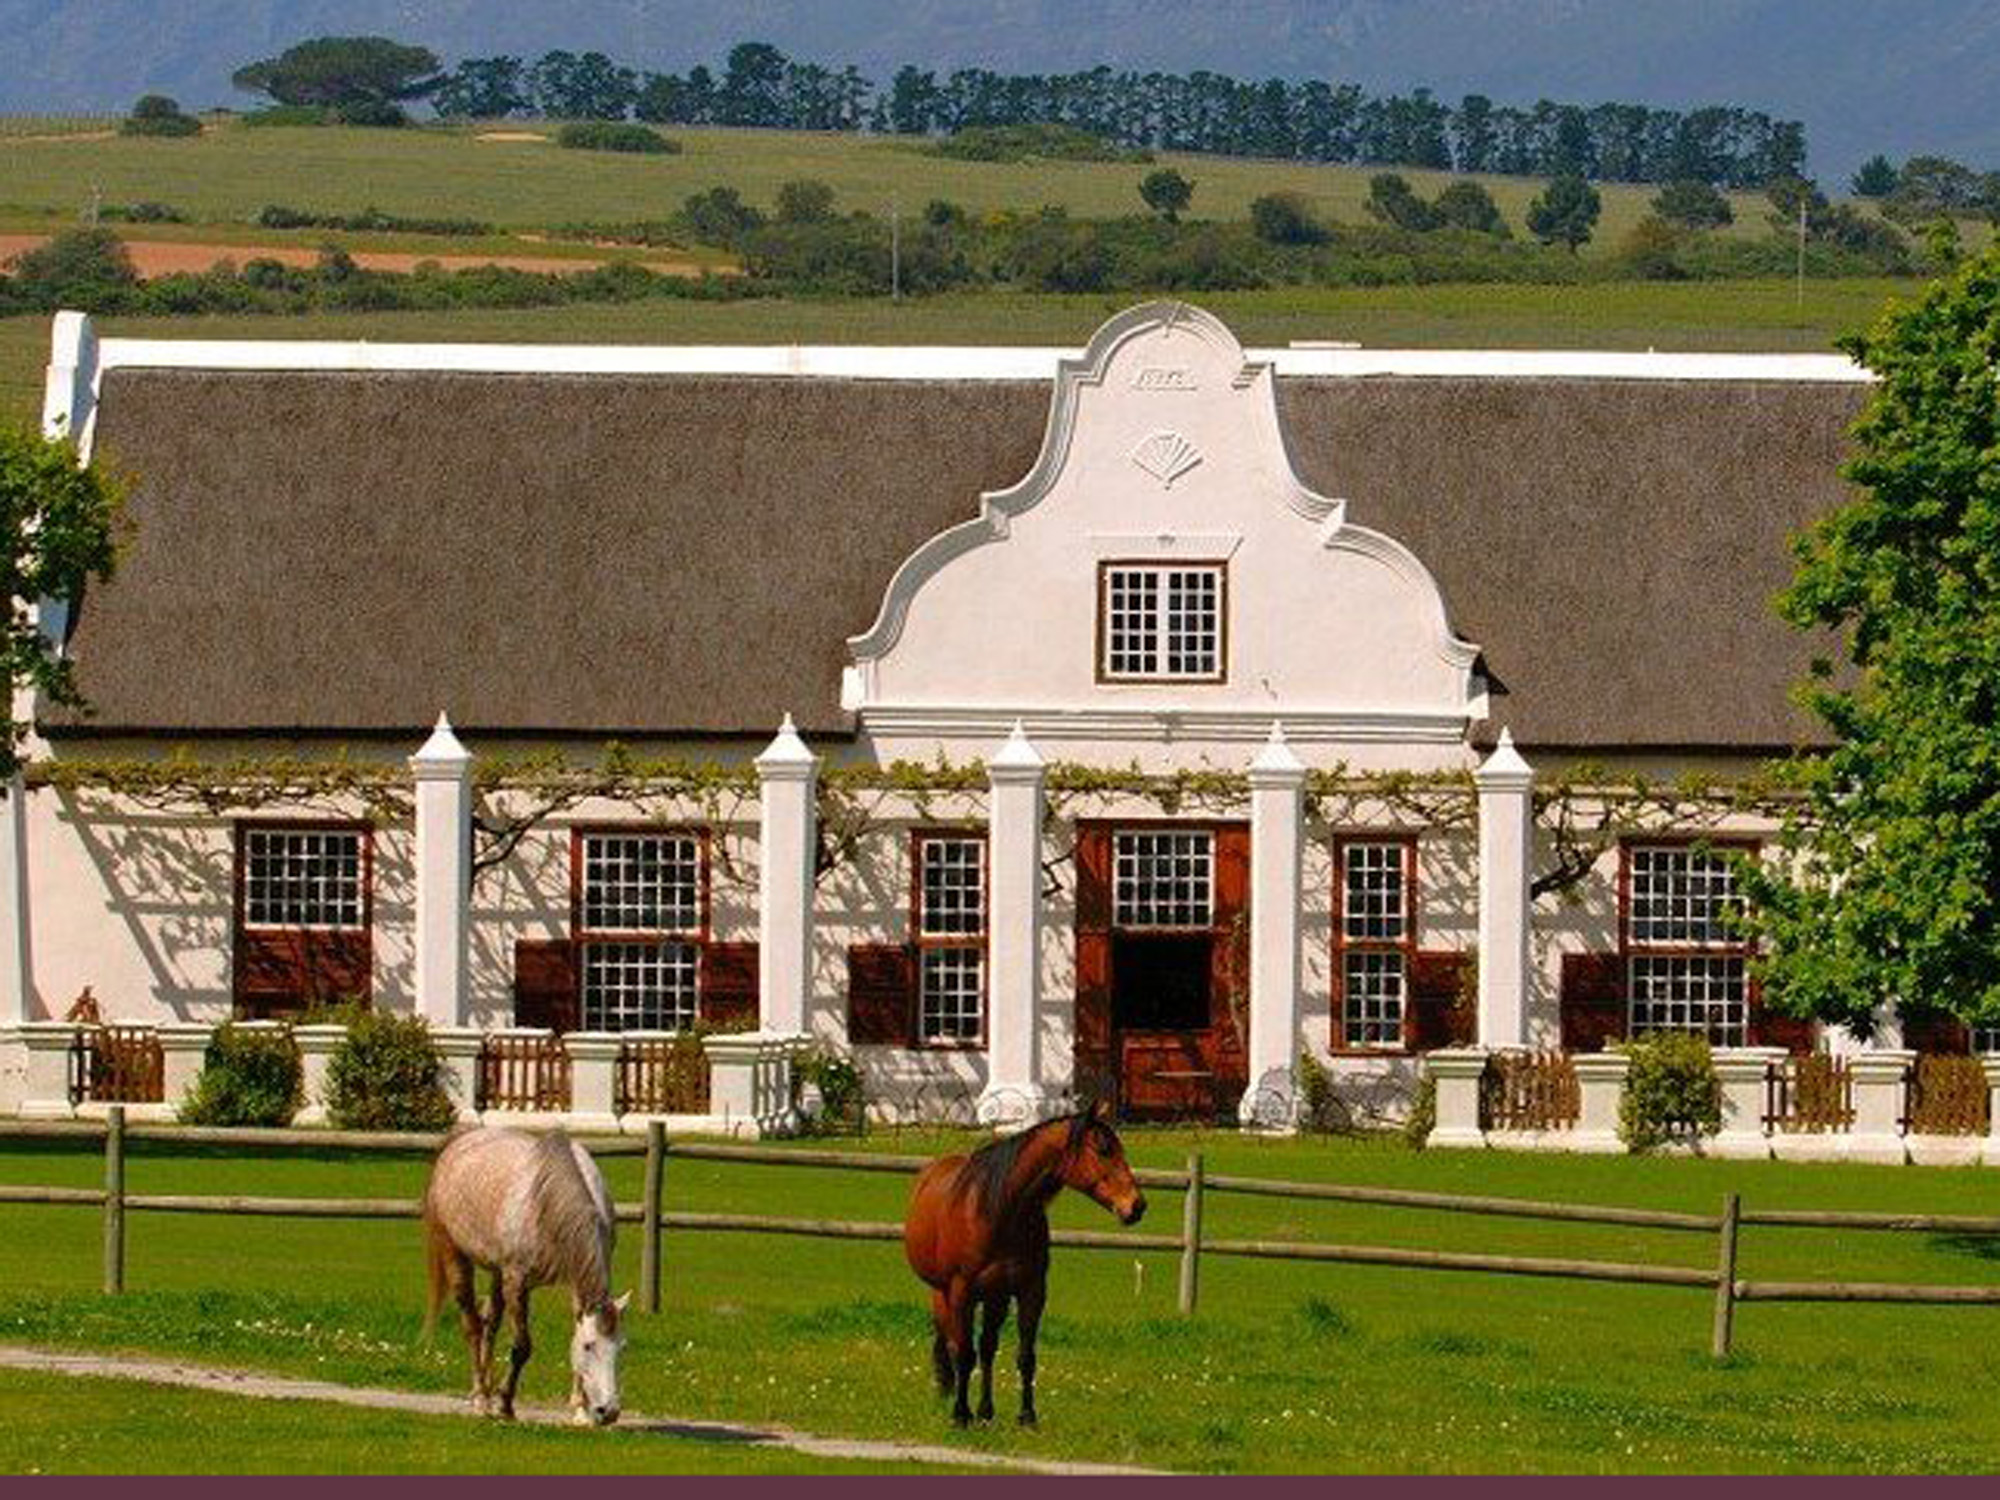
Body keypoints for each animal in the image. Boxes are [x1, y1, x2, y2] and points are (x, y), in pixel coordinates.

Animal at [904, 1104, 1144, 1432]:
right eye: (1103, 1149)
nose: (1137, 1206)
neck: (1000, 1210)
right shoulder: (962, 1292)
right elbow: (964, 1354)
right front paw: (960, 1415)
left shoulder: (1031, 1291)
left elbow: (1025, 1356)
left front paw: (1027, 1416)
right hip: (944, 1294)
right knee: (954, 1344)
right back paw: (955, 1399)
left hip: (996, 1297)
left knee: (987, 1348)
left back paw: (986, 1411)